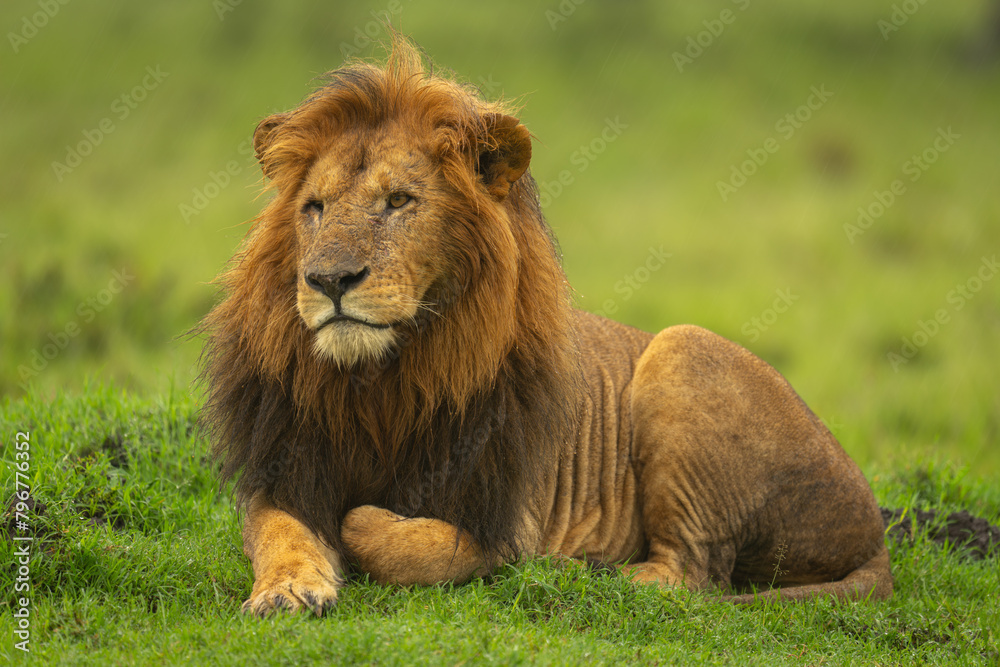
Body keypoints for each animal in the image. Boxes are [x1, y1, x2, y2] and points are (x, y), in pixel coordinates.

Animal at [199, 35, 892, 615]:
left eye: (399, 201)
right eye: (314, 207)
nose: (329, 280)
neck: (385, 383)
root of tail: (877, 532)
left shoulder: (504, 520)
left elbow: (381, 533)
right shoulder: (285, 468)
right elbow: (280, 532)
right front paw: (288, 588)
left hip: (683, 349)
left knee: (694, 574)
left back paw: (588, 572)